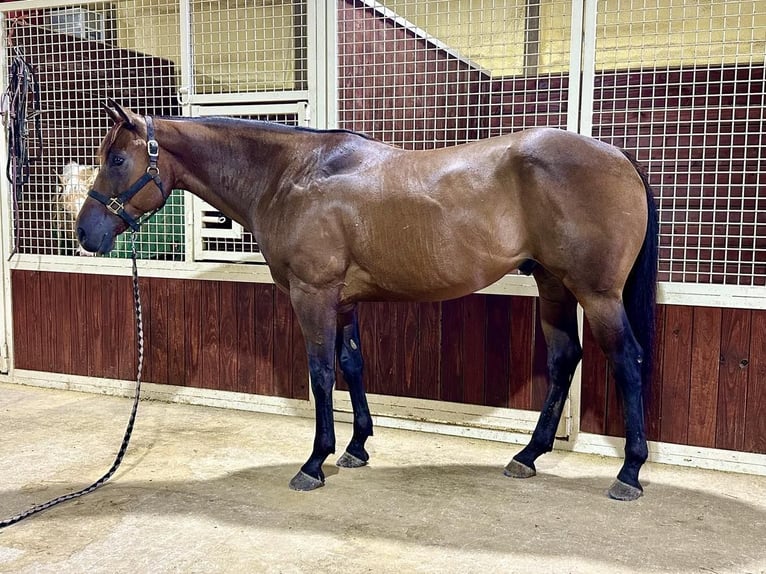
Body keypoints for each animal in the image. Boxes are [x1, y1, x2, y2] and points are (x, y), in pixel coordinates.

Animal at [75, 101, 656, 502]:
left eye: (118, 159)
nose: (85, 233)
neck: (292, 176)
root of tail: (618, 157)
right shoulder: (345, 300)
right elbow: (352, 364)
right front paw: (357, 447)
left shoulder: (313, 295)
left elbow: (320, 371)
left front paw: (315, 461)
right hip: (553, 286)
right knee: (563, 360)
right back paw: (528, 455)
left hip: (596, 294)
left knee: (627, 361)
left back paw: (628, 472)